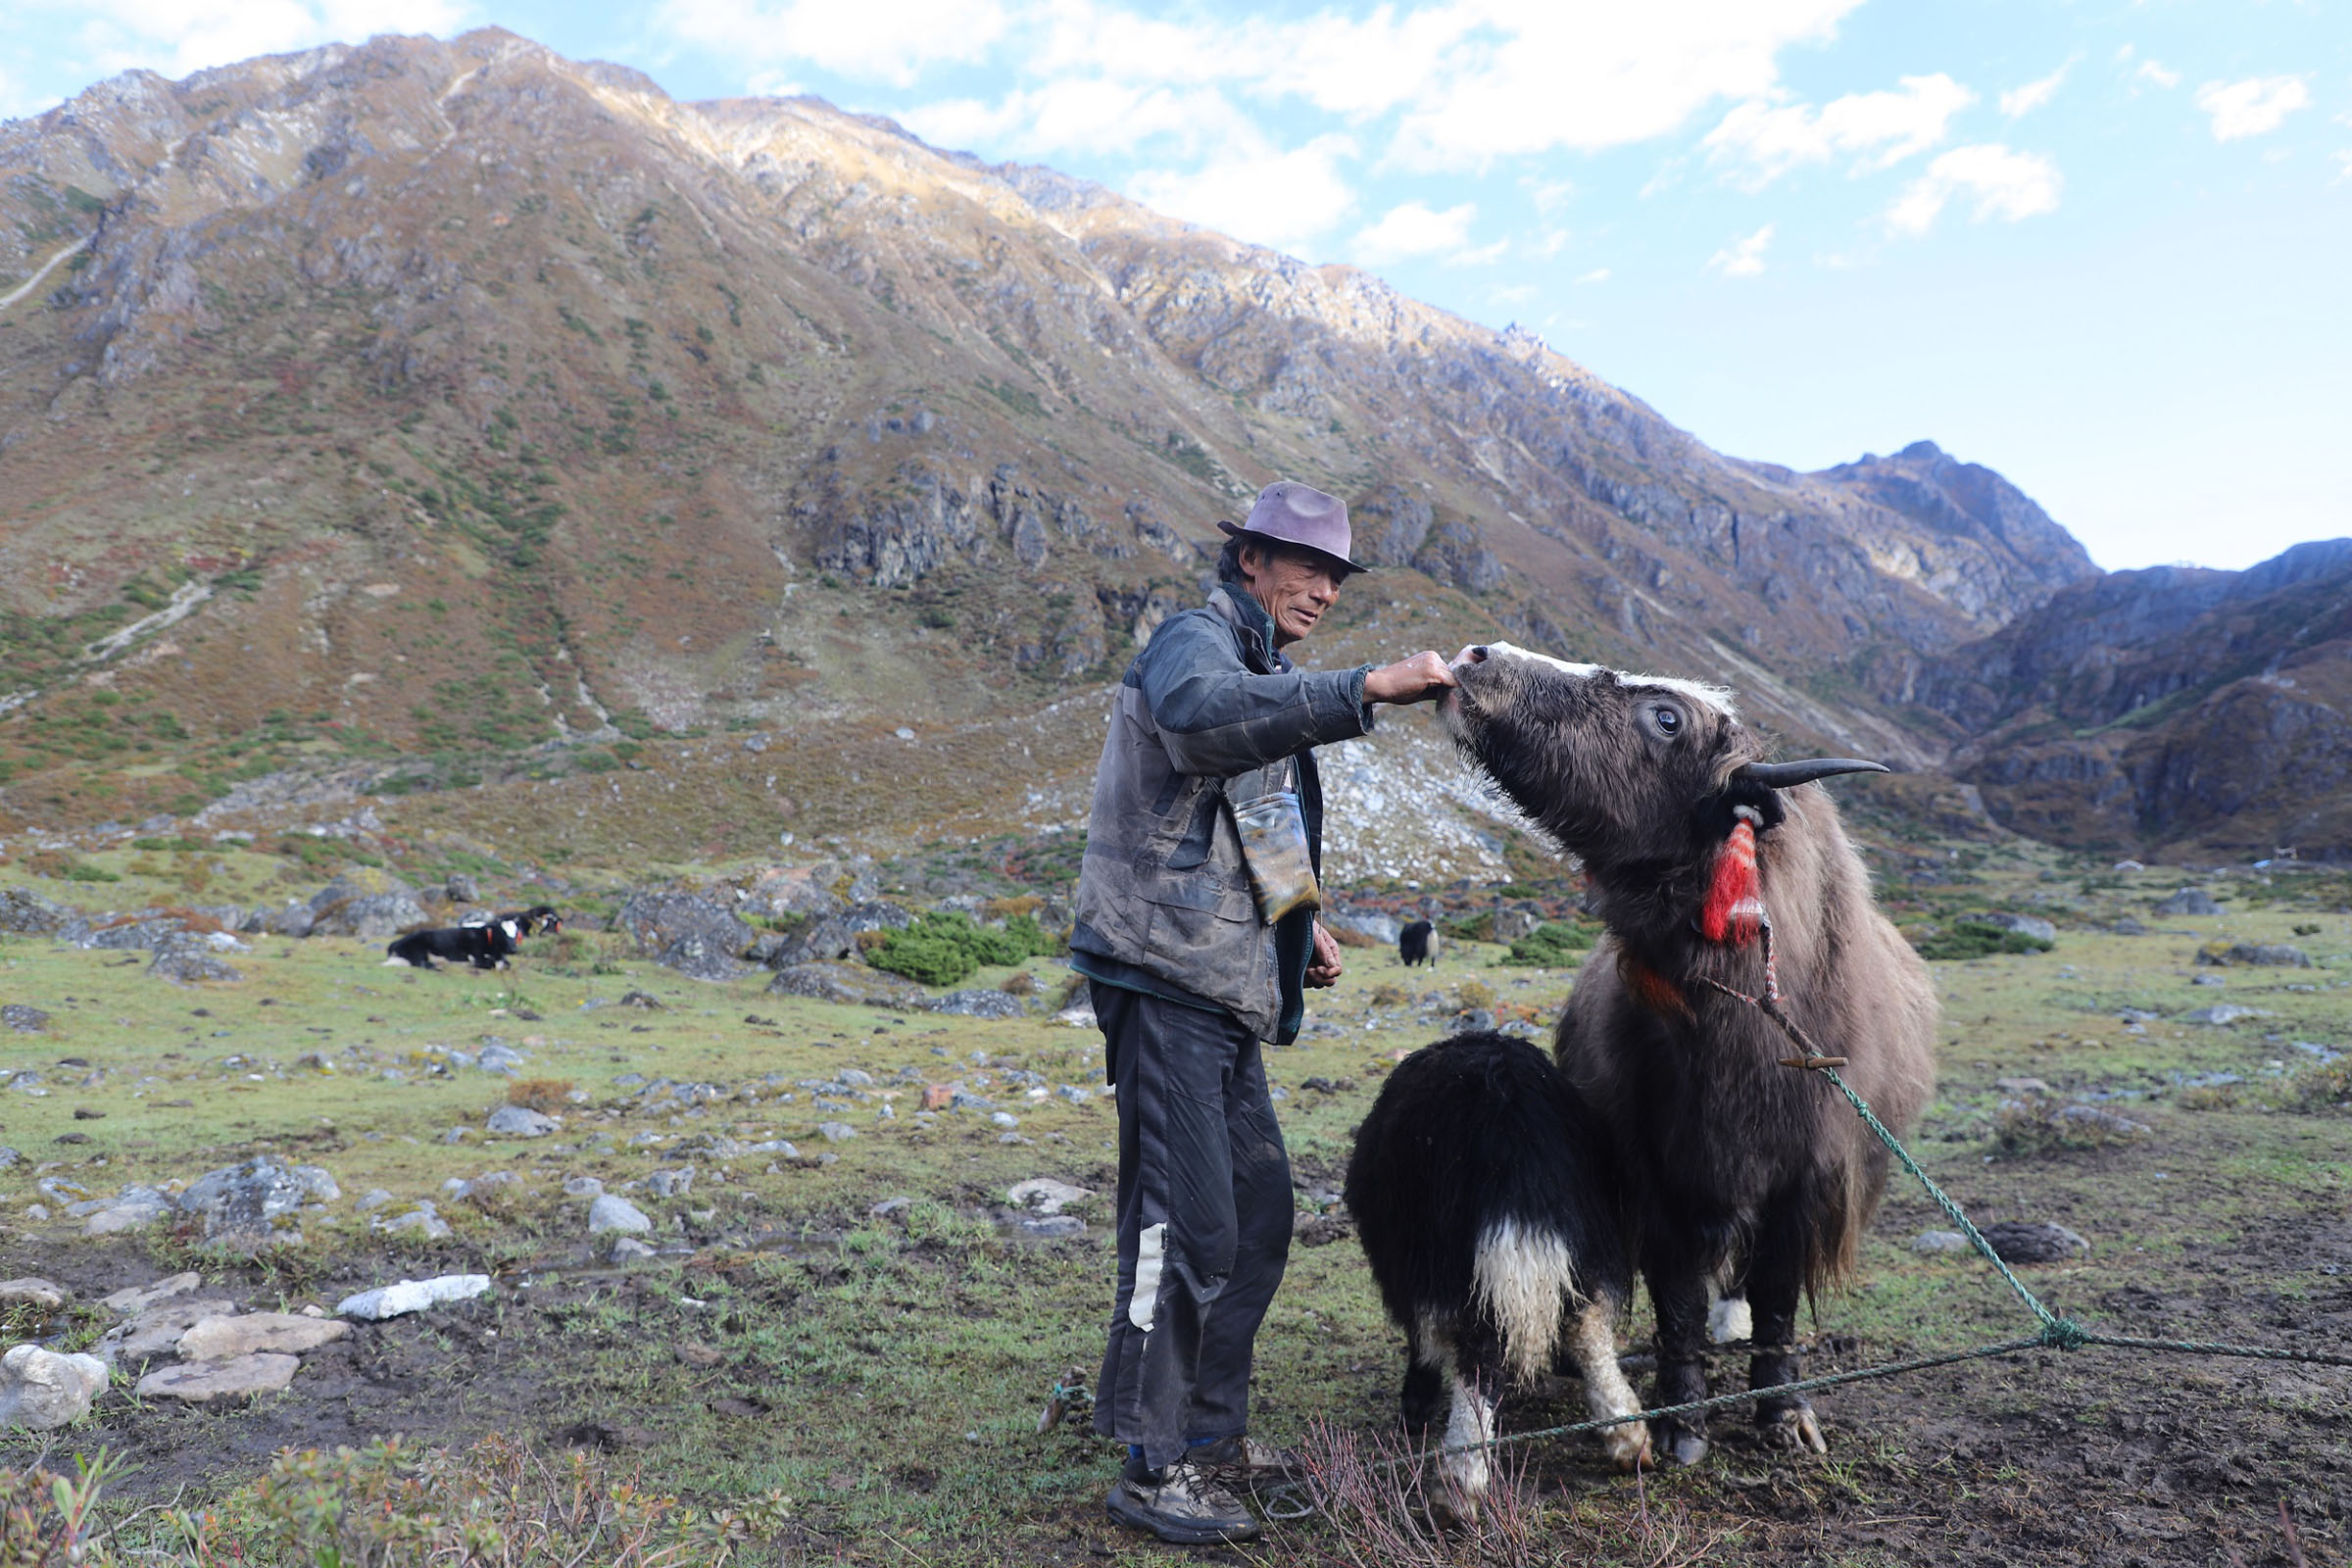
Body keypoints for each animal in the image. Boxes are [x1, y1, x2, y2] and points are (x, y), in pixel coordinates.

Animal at [1345, 1029, 1655, 1494]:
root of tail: (1508, 1117)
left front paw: (1417, 1406)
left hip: (1439, 1257)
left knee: (1477, 1348)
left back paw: (1459, 1479)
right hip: (1583, 1230)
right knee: (1587, 1325)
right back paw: (1628, 1436)